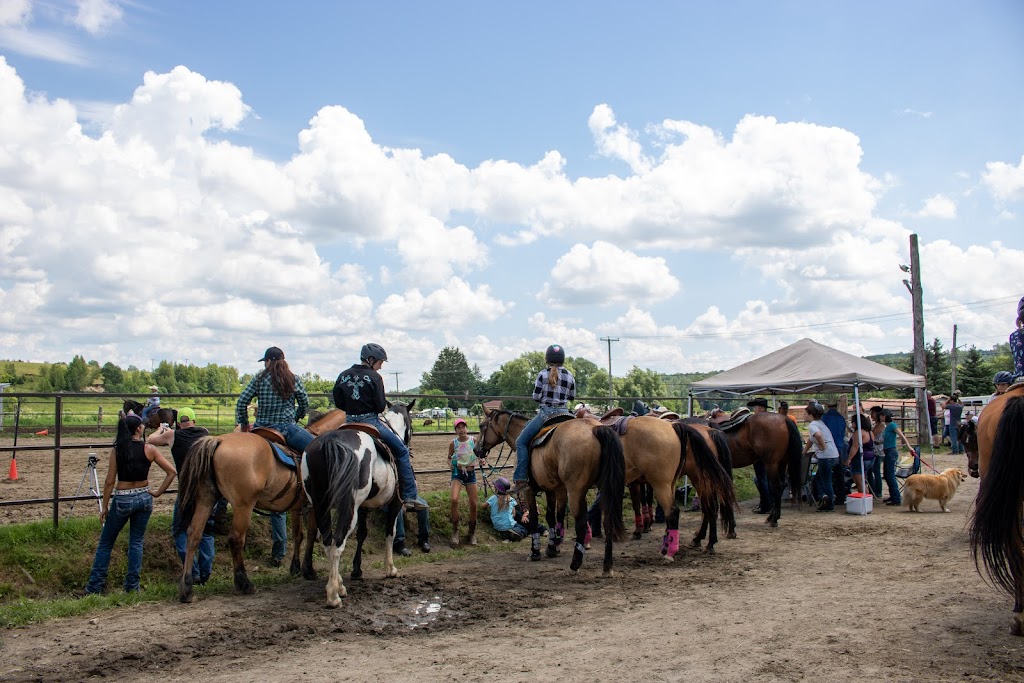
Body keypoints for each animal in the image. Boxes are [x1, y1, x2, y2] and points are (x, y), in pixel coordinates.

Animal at [175, 405, 348, 602]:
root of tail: (217, 440)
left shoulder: (297, 507)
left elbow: (298, 535)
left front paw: (295, 567)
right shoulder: (315, 505)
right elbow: (311, 534)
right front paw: (308, 569)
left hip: (206, 499)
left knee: (194, 534)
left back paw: (187, 588)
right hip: (243, 505)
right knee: (235, 538)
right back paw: (244, 583)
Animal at [299, 401, 413, 610]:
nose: (408, 445)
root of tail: (331, 442)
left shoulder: (363, 506)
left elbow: (362, 534)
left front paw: (356, 570)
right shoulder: (395, 503)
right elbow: (390, 533)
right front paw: (390, 568)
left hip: (321, 505)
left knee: (328, 542)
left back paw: (338, 585)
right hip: (348, 507)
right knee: (337, 542)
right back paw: (333, 595)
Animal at [475, 405, 626, 577]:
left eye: (482, 426)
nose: (476, 450)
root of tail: (595, 429)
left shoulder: (529, 490)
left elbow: (534, 518)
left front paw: (535, 552)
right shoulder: (554, 489)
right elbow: (554, 517)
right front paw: (552, 547)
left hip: (576, 491)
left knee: (581, 524)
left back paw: (575, 564)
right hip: (604, 490)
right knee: (607, 523)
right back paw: (607, 565)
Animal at [614, 413, 737, 557]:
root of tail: (710, 429)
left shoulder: (636, 482)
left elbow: (636, 504)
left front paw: (638, 530)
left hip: (701, 478)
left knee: (710, 507)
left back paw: (708, 542)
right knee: (710, 506)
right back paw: (701, 538)